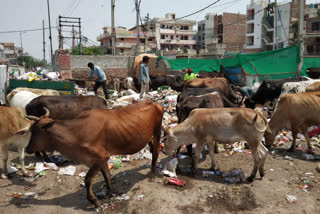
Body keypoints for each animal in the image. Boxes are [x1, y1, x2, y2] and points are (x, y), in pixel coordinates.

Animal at [26, 101, 164, 206]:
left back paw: (152, 174)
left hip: (157, 131)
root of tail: (155, 103)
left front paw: (94, 200)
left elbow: (87, 179)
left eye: (34, 131)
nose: (27, 149)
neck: (74, 133)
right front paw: (109, 193)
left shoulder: (100, 157)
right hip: (148, 136)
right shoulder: (100, 159)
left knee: (156, 152)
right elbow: (107, 175)